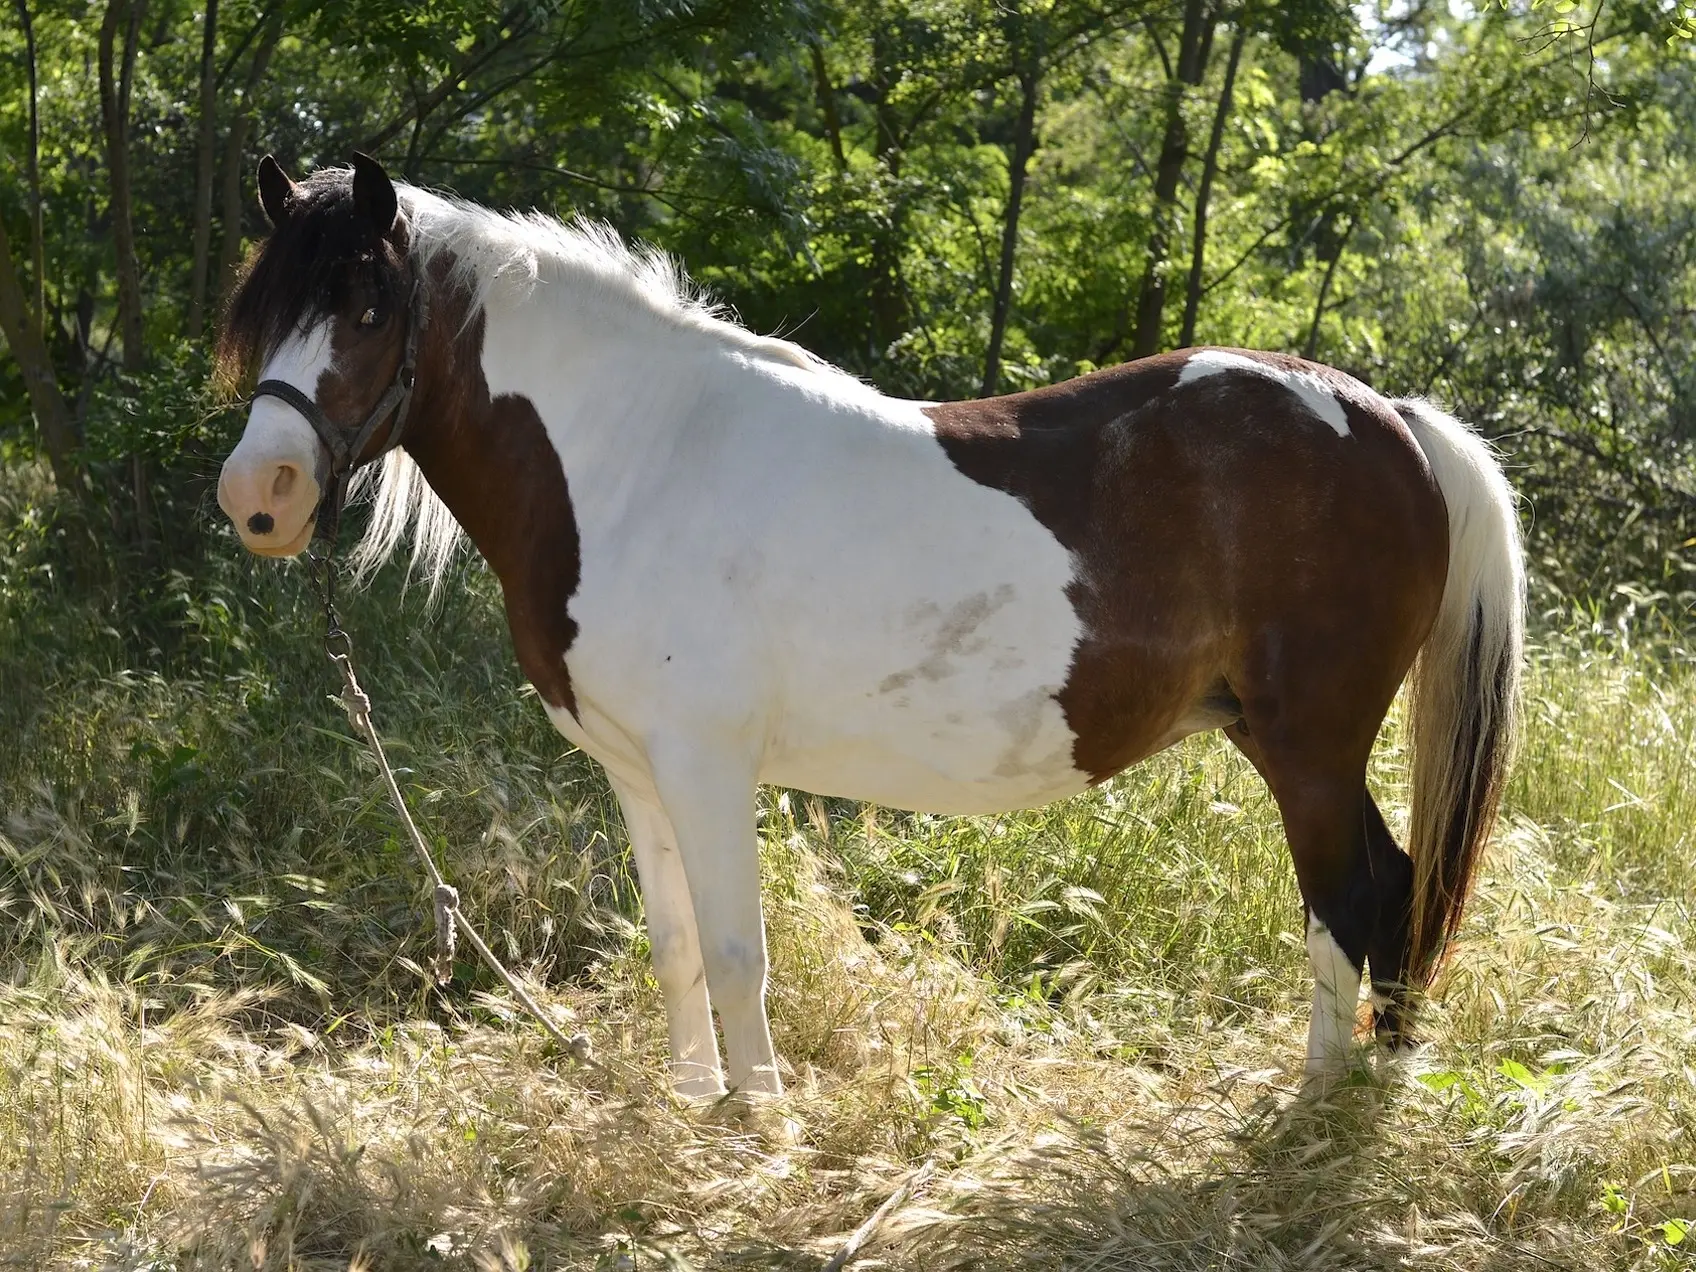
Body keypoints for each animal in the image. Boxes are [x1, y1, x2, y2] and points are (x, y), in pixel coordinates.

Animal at [212, 154, 1526, 1099]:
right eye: (262, 315)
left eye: (368, 307)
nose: (256, 498)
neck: (634, 459)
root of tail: (1382, 415)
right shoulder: (634, 772)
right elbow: (675, 949)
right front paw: (696, 1111)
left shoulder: (708, 765)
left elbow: (738, 955)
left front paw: (767, 1130)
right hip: (1281, 738)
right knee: (1394, 897)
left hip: (1310, 748)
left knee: (1352, 903)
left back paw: (1313, 1111)